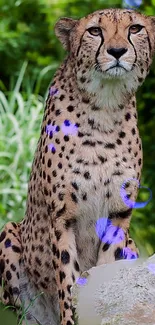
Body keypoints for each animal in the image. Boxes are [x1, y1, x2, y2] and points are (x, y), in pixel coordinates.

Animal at [0, 6, 155, 324]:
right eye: (95, 31)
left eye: (135, 28)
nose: (117, 51)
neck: (105, 107)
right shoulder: (63, 216)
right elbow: (67, 278)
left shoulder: (118, 214)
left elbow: (106, 269)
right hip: (8, 234)